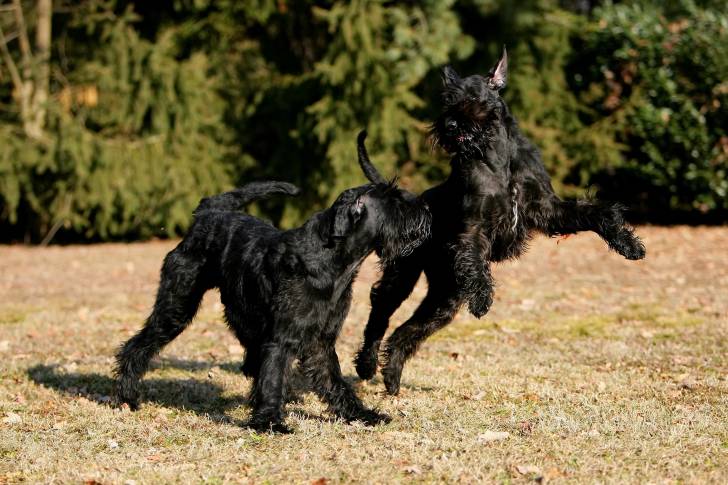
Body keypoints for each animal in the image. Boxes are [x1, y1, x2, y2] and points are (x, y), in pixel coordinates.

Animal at [116, 133, 430, 432]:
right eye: (395, 202)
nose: (426, 210)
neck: (334, 262)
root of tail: (207, 212)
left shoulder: (321, 340)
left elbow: (334, 381)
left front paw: (359, 413)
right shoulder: (283, 336)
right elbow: (274, 375)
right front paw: (270, 422)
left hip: (240, 315)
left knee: (251, 360)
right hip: (177, 306)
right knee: (138, 345)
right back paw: (127, 396)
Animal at [356, 46, 644, 394]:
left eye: (472, 96)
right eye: (446, 98)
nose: (449, 125)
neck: (498, 158)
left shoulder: (547, 209)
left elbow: (596, 213)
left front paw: (628, 244)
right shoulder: (475, 227)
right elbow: (477, 263)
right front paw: (482, 298)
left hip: (445, 296)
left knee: (407, 331)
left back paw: (392, 376)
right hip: (402, 276)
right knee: (379, 315)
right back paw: (366, 365)